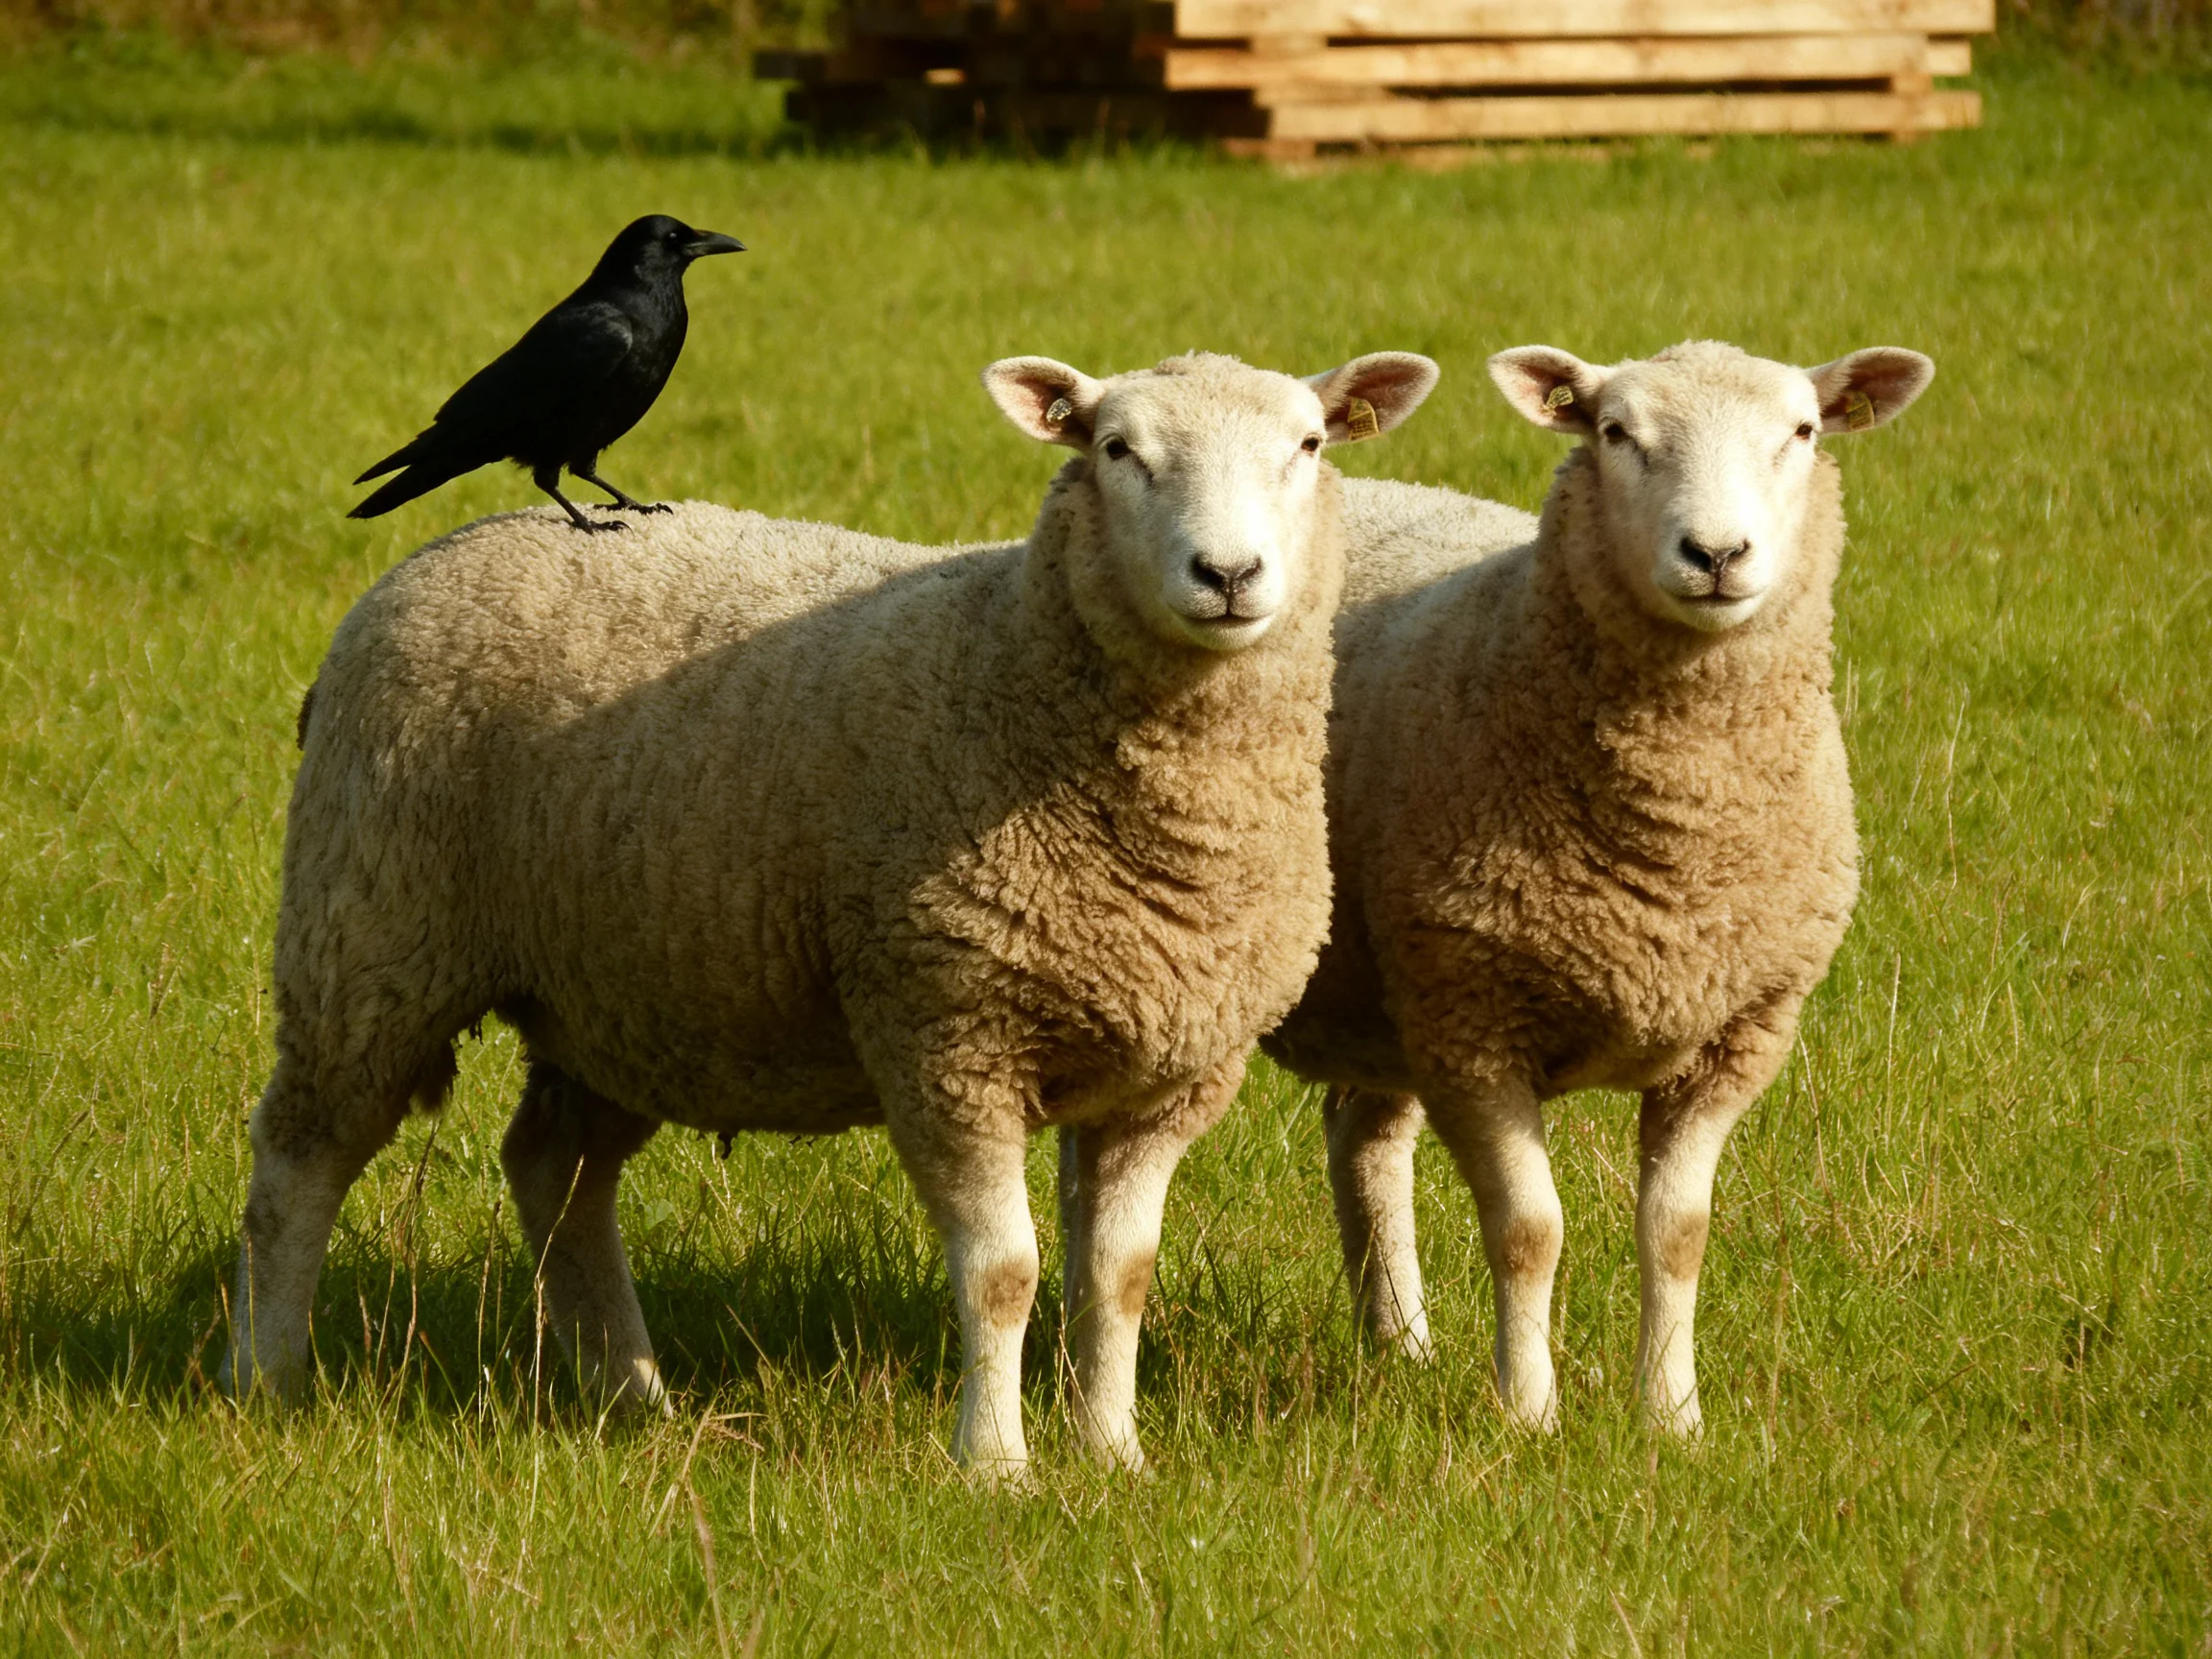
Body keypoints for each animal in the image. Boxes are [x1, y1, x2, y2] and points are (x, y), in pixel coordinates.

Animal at [220, 348, 1441, 1477]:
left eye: (1308, 446)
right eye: (1114, 450)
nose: (1227, 573)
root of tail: (447, 547)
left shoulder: (1168, 1075)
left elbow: (1119, 1278)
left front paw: (1111, 1456)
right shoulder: (947, 1034)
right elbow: (1004, 1274)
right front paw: (996, 1467)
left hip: (624, 989)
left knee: (553, 1166)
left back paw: (630, 1392)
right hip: (370, 933)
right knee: (299, 1161)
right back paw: (265, 1378)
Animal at [1265, 340, 1934, 1435]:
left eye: (1801, 432)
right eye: (1616, 433)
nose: (1717, 555)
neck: (1673, 839)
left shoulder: (1735, 1035)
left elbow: (1679, 1231)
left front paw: (1671, 1416)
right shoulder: (1474, 1024)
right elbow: (1529, 1230)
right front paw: (1529, 1416)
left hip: (1385, 986)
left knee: (1362, 1139)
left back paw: (1401, 1346)